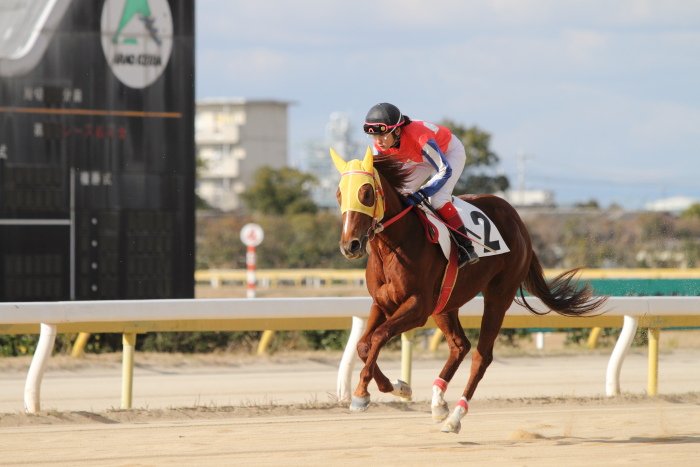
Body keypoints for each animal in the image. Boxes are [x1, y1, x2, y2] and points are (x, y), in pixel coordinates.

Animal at [330, 147, 604, 436]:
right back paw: (439, 403)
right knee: (460, 345)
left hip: (498, 297)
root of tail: (518, 220)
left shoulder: (418, 307)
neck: (395, 244)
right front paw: (397, 387)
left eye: (367, 193)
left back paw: (455, 417)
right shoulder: (382, 304)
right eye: (339, 193)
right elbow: (363, 345)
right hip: (446, 303)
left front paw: (362, 394)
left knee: (481, 357)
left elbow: (379, 336)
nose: (350, 245)